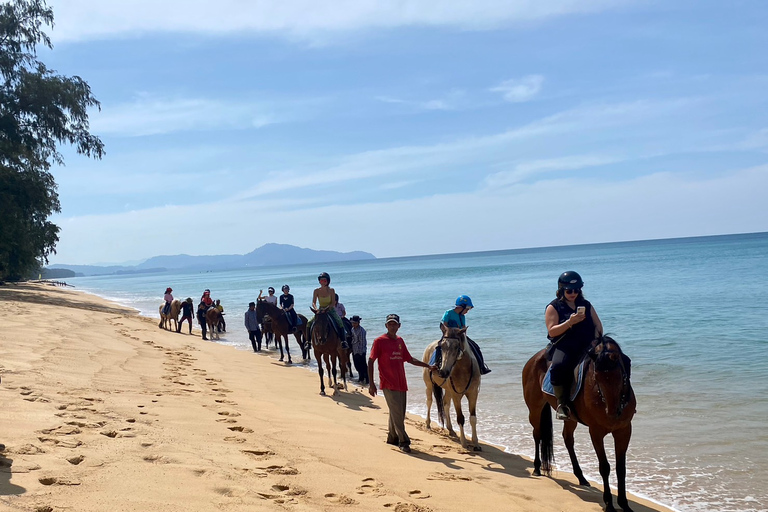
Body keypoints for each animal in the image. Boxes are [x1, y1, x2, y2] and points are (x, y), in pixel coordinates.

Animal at [520, 336, 636, 512]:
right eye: (596, 377)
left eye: (620, 376)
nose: (611, 413)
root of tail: (533, 359)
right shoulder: (596, 432)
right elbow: (604, 467)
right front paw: (609, 504)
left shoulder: (623, 430)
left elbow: (621, 469)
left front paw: (624, 504)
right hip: (535, 409)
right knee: (537, 434)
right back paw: (537, 468)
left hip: (571, 419)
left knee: (567, 439)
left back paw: (581, 477)